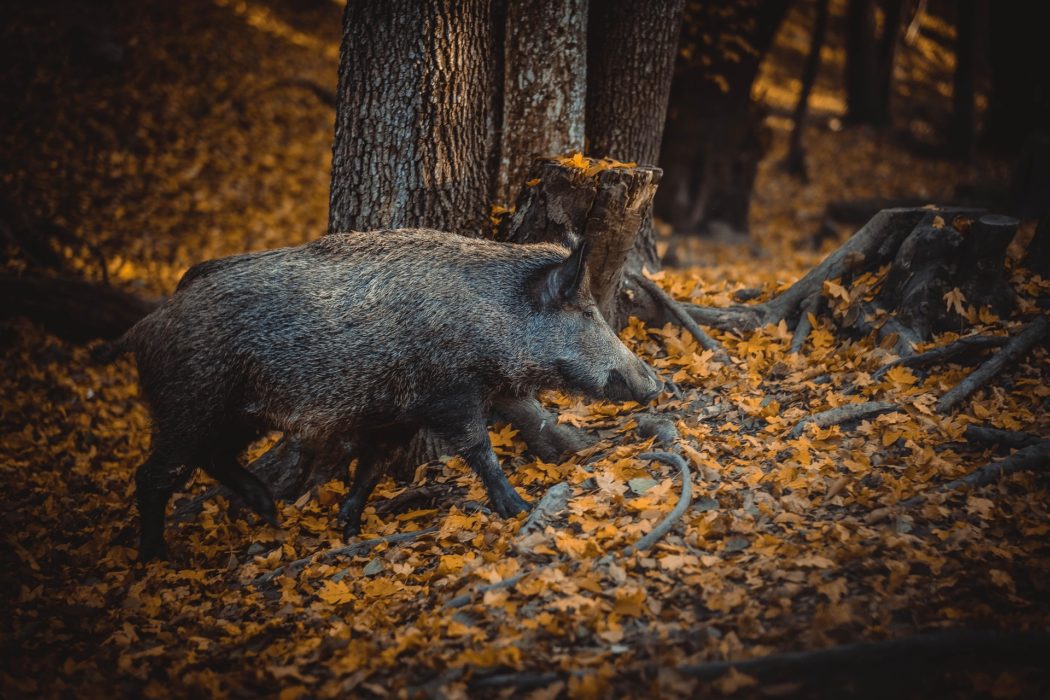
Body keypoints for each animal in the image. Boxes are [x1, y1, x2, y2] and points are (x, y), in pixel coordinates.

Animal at [104, 229, 663, 560]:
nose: (655, 384)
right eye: (586, 313)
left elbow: (372, 466)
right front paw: (519, 509)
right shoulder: (448, 393)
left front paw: (348, 529)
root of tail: (140, 329)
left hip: (234, 413)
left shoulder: (397, 412)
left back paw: (268, 511)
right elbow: (478, 449)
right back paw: (157, 558)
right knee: (154, 474)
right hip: (190, 402)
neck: (486, 321)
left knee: (213, 457)